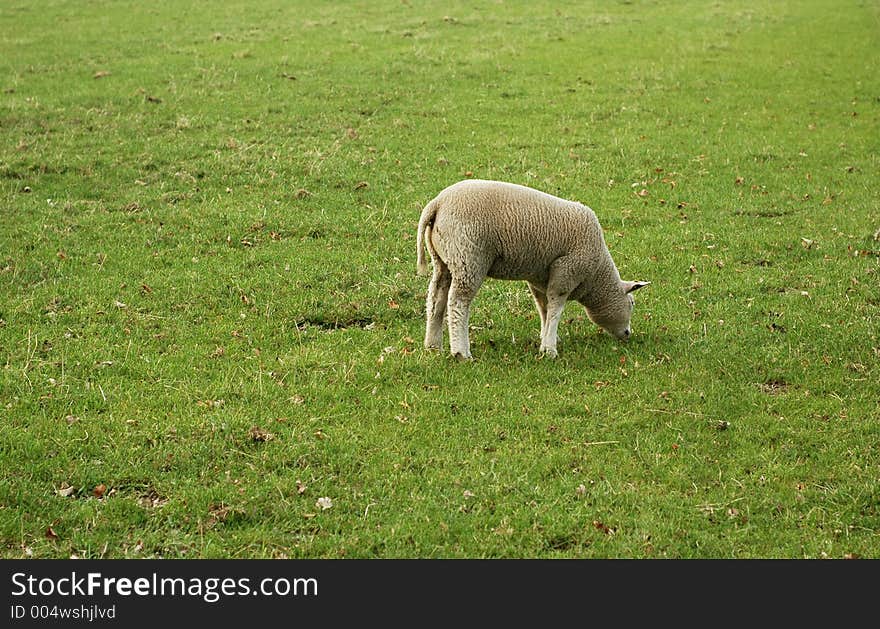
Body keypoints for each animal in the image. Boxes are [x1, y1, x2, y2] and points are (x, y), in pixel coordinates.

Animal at [416, 179, 648, 360]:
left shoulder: (539, 278)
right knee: (458, 304)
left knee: (436, 299)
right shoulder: (566, 272)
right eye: (632, 303)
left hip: (444, 260)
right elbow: (555, 309)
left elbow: (543, 308)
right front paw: (550, 350)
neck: (597, 275)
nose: (628, 334)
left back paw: (433, 346)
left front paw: (548, 338)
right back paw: (461, 352)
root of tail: (438, 203)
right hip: (468, 258)